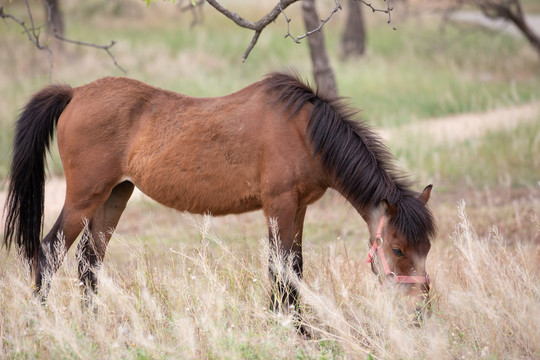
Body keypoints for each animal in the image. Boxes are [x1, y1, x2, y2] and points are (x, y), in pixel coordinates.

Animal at [3, 71, 434, 314]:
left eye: (427, 247)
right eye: (397, 248)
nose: (421, 307)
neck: (304, 132)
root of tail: (75, 93)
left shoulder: (298, 209)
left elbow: (294, 268)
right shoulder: (278, 207)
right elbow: (280, 271)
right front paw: (287, 329)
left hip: (114, 196)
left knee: (89, 263)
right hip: (83, 199)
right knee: (48, 253)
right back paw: (43, 324)